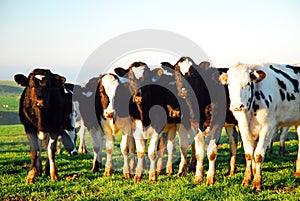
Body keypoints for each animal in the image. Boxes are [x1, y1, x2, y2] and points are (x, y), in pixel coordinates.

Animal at [161, 57, 240, 185]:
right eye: (177, 73)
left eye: (193, 74)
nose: (184, 91)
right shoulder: (194, 126)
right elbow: (197, 152)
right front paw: (198, 176)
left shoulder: (217, 125)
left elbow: (211, 153)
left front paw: (210, 178)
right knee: (234, 139)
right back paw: (231, 170)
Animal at [218, 62, 300, 192]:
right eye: (229, 84)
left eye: (248, 83)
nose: (237, 106)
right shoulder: (243, 128)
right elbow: (248, 154)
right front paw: (247, 180)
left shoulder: (267, 128)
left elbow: (258, 155)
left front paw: (257, 183)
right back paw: (298, 171)